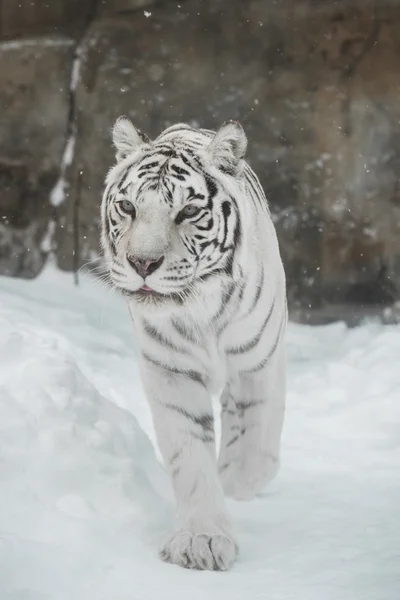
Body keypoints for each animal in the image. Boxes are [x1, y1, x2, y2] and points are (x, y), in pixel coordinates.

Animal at [101, 118, 286, 572]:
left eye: (187, 211)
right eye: (128, 207)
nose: (142, 263)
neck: (201, 307)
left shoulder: (257, 363)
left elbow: (254, 449)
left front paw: (234, 482)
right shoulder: (171, 369)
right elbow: (190, 456)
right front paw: (201, 540)